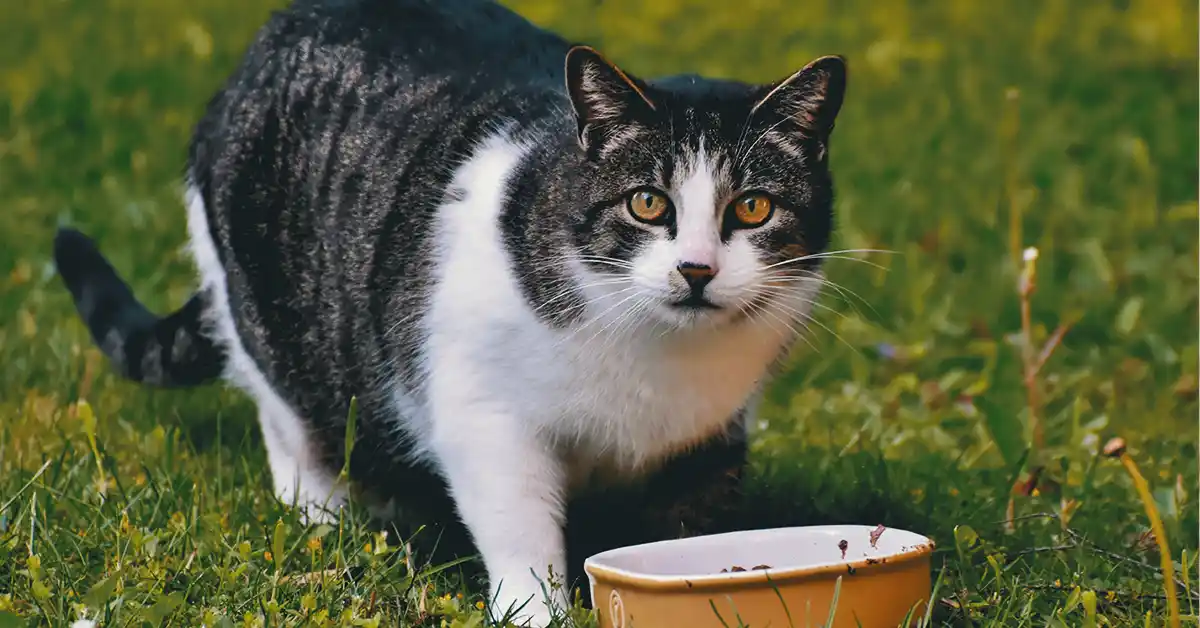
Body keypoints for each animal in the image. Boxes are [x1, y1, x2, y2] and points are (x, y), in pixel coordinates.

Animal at [54, 0, 844, 619]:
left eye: (753, 208)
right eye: (648, 203)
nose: (697, 269)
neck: (656, 360)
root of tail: (259, 49)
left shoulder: (713, 436)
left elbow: (689, 535)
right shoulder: (483, 413)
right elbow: (519, 529)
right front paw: (537, 610)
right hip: (267, 319)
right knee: (290, 424)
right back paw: (326, 520)